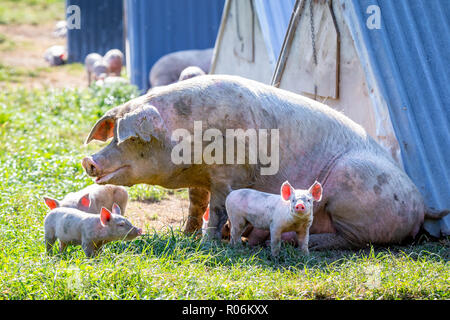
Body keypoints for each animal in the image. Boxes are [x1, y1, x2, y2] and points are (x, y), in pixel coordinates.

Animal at [82, 74, 448, 250]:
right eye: (112, 134)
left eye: (131, 138)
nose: (88, 161)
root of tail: (421, 205)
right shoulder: (200, 179)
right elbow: (195, 202)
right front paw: (186, 235)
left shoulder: (228, 174)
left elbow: (217, 207)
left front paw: (205, 242)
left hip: (353, 184)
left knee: (355, 240)